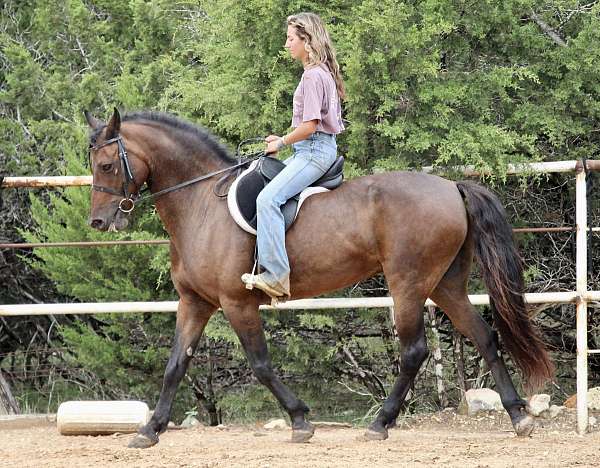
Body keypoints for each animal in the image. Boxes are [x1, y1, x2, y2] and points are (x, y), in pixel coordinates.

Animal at [84, 108, 552, 448]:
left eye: (106, 165)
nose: (98, 222)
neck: (200, 204)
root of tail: (452, 186)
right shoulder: (194, 302)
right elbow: (175, 366)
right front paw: (149, 431)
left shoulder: (237, 303)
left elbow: (260, 364)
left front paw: (300, 420)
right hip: (445, 284)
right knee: (484, 336)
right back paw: (518, 416)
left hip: (408, 283)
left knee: (414, 350)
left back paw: (380, 423)